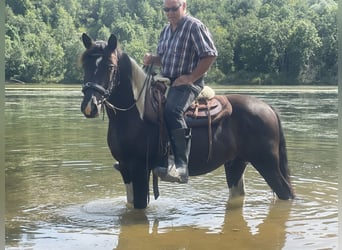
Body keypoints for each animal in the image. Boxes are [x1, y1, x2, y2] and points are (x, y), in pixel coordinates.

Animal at [79, 33, 294, 209]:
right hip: (236, 163)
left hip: (267, 163)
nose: (90, 106)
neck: (135, 113)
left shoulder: (139, 168)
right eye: (84, 66)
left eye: (109, 67)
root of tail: (268, 108)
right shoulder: (125, 169)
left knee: (286, 193)